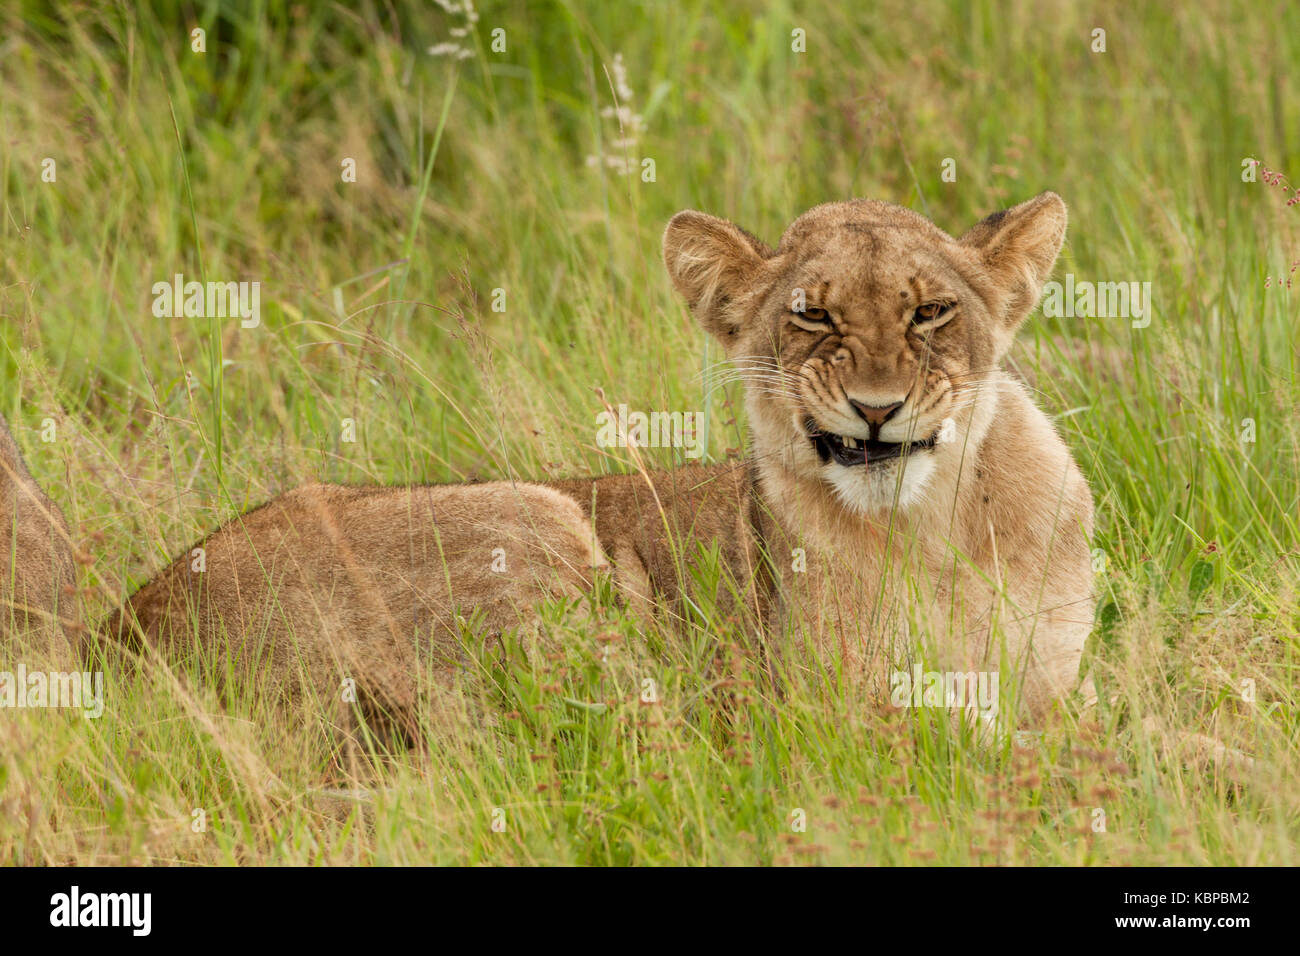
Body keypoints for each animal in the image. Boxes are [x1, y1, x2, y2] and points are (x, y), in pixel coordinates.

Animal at [106, 191, 1092, 738]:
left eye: (930, 312)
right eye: (812, 316)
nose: (877, 408)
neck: (933, 531)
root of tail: (122, 632)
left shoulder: (1052, 680)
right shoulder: (831, 715)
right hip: (531, 523)